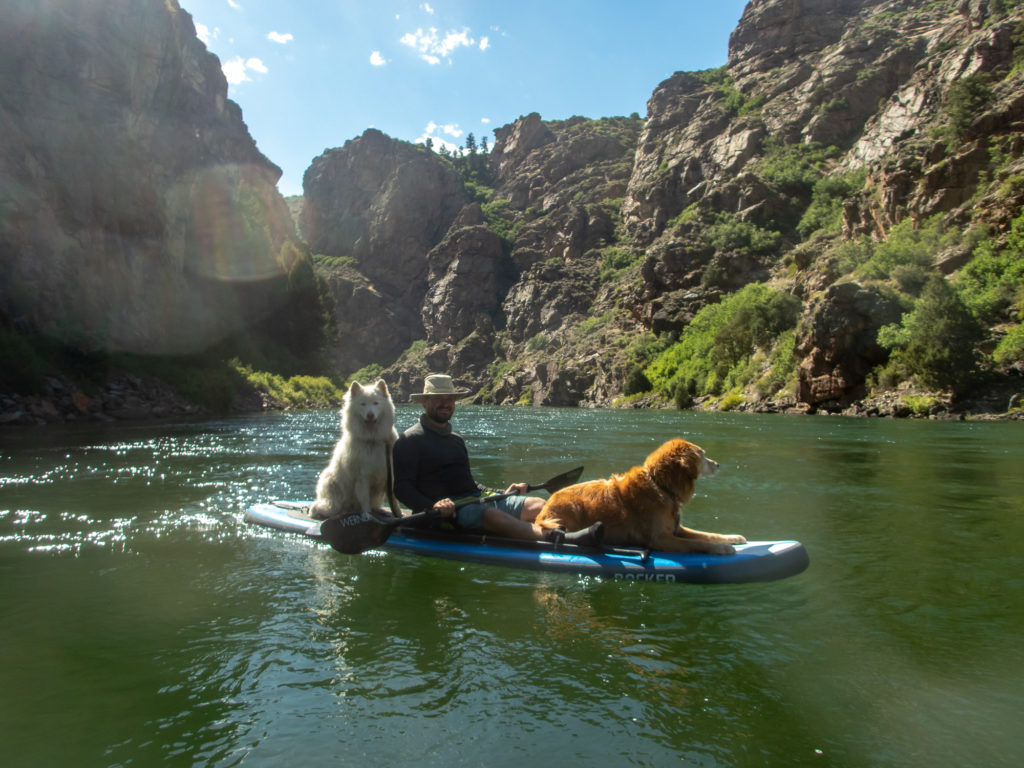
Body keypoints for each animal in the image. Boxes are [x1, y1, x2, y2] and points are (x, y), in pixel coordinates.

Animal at [307, 380, 399, 524]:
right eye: (363, 404)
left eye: (376, 403)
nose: (370, 415)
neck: (372, 440)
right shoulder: (362, 478)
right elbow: (365, 504)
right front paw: (368, 517)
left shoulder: (391, 477)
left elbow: (394, 502)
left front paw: (398, 515)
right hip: (331, 483)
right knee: (325, 507)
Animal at [536, 438, 745, 552]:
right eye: (703, 455)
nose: (718, 464)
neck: (661, 486)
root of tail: (545, 507)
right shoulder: (660, 539)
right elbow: (698, 544)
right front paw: (723, 548)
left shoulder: (676, 528)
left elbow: (707, 535)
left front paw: (733, 537)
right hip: (572, 506)